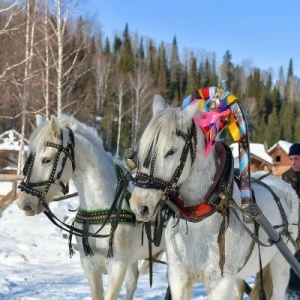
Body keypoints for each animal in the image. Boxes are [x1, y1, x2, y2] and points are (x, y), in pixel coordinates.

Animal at [17, 113, 165, 298]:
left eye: (46, 160)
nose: (24, 203)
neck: (102, 206)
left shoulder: (118, 265)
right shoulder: (89, 264)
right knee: (132, 282)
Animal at [129, 96, 300, 300]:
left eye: (171, 151)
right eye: (142, 149)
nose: (139, 205)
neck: (199, 220)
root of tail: (283, 183)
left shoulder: (220, 282)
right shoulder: (178, 277)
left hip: (281, 262)